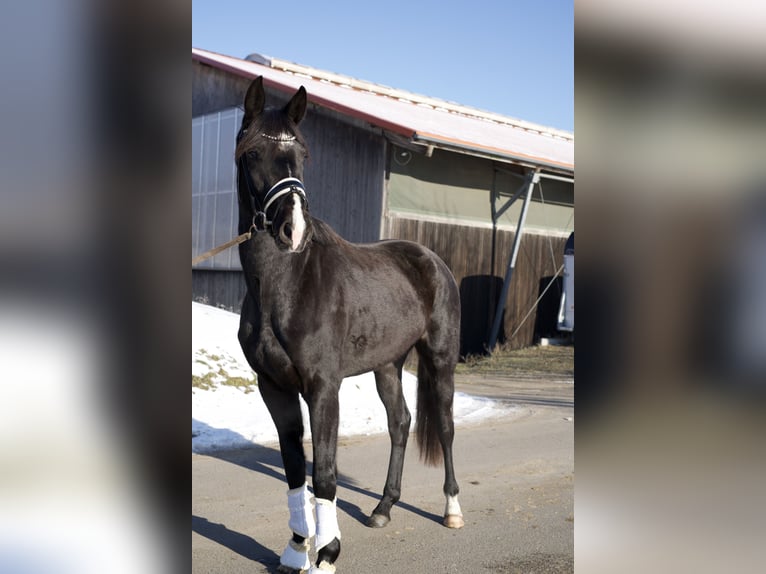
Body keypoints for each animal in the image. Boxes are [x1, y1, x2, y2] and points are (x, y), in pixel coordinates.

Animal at [236, 77, 462, 574]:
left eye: (303, 154)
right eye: (252, 152)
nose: (293, 230)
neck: (286, 285)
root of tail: (431, 259)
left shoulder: (323, 388)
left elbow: (325, 474)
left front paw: (326, 555)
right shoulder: (273, 387)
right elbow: (294, 472)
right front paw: (296, 549)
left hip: (440, 360)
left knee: (445, 426)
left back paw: (452, 510)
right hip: (388, 365)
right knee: (400, 422)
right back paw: (382, 508)